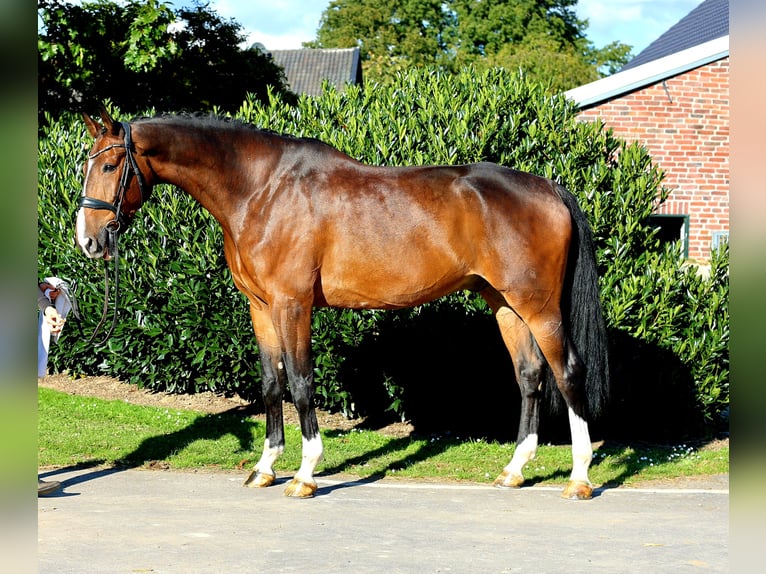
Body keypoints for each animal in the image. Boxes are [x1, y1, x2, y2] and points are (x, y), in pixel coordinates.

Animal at [75, 106, 608, 502]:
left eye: (109, 166)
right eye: (86, 165)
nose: (88, 241)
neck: (261, 188)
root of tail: (549, 187)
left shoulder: (292, 305)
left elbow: (301, 382)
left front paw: (304, 474)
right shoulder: (260, 307)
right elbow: (271, 384)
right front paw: (265, 467)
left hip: (539, 307)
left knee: (568, 372)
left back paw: (579, 479)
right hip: (505, 304)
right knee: (530, 376)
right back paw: (513, 471)